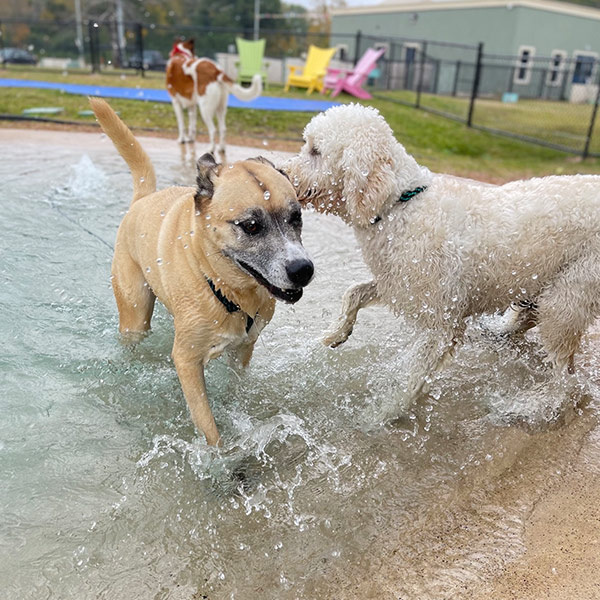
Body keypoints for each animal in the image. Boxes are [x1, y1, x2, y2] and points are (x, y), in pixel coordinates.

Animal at [91, 97, 314, 446]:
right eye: (251, 225)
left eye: (296, 217)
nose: (303, 270)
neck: (224, 287)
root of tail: (142, 200)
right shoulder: (187, 360)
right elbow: (207, 424)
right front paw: (221, 457)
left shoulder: (243, 350)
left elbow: (235, 390)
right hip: (135, 314)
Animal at [284, 103, 600, 404]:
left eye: (315, 150)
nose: (283, 173)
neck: (399, 205)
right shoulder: (398, 283)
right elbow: (354, 293)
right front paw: (334, 335)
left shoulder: (440, 321)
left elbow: (410, 381)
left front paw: (383, 412)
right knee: (528, 319)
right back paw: (500, 332)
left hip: (569, 296)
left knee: (564, 374)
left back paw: (539, 402)